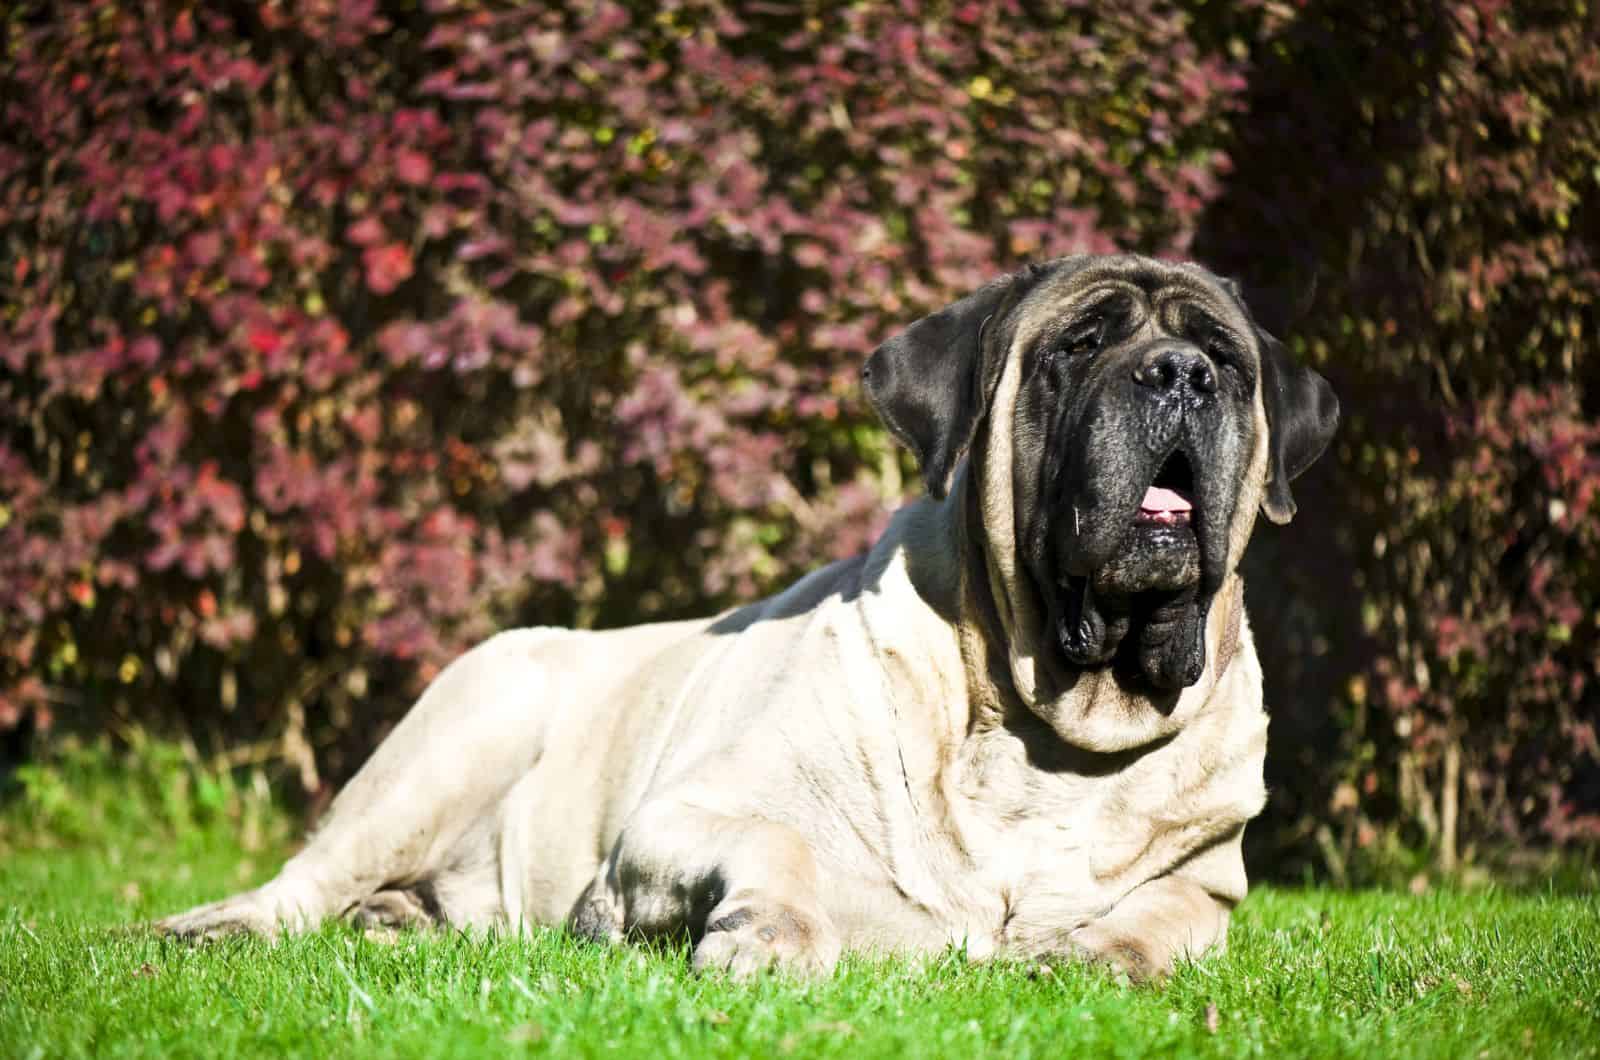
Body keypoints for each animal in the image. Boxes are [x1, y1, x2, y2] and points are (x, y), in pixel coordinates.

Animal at [159, 252, 1337, 986]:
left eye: (1227, 361)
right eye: (1078, 346)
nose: (1179, 373)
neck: (1043, 721)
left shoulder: (1209, 884)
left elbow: (1166, 916)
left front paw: (1098, 955)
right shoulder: (680, 817)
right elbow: (781, 844)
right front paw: (765, 938)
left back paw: (399, 919)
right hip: (459, 731)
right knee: (308, 876)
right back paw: (220, 926)